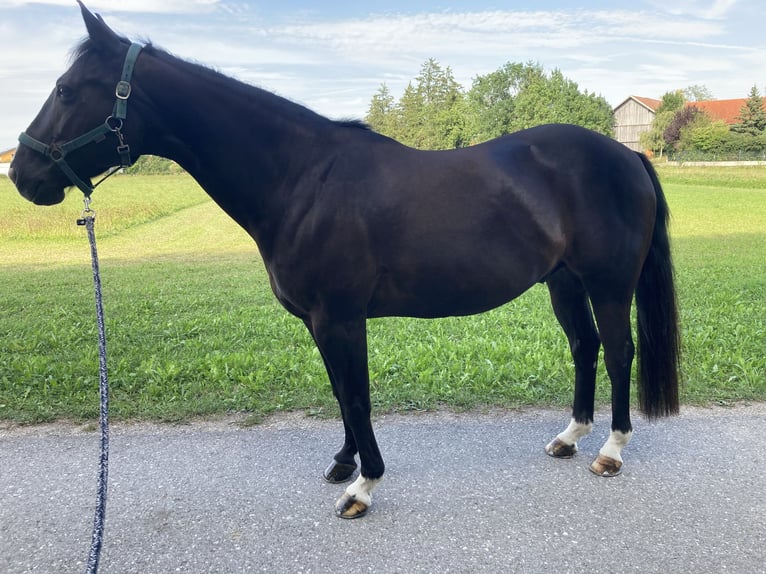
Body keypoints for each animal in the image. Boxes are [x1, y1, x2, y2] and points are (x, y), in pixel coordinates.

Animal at [10, 3, 680, 519]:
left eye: (66, 90)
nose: (22, 174)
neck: (302, 180)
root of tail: (627, 155)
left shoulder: (339, 318)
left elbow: (356, 396)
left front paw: (363, 485)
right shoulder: (319, 321)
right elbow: (339, 393)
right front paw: (343, 462)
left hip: (608, 282)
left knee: (618, 350)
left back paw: (610, 451)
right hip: (563, 282)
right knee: (585, 347)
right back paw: (569, 437)